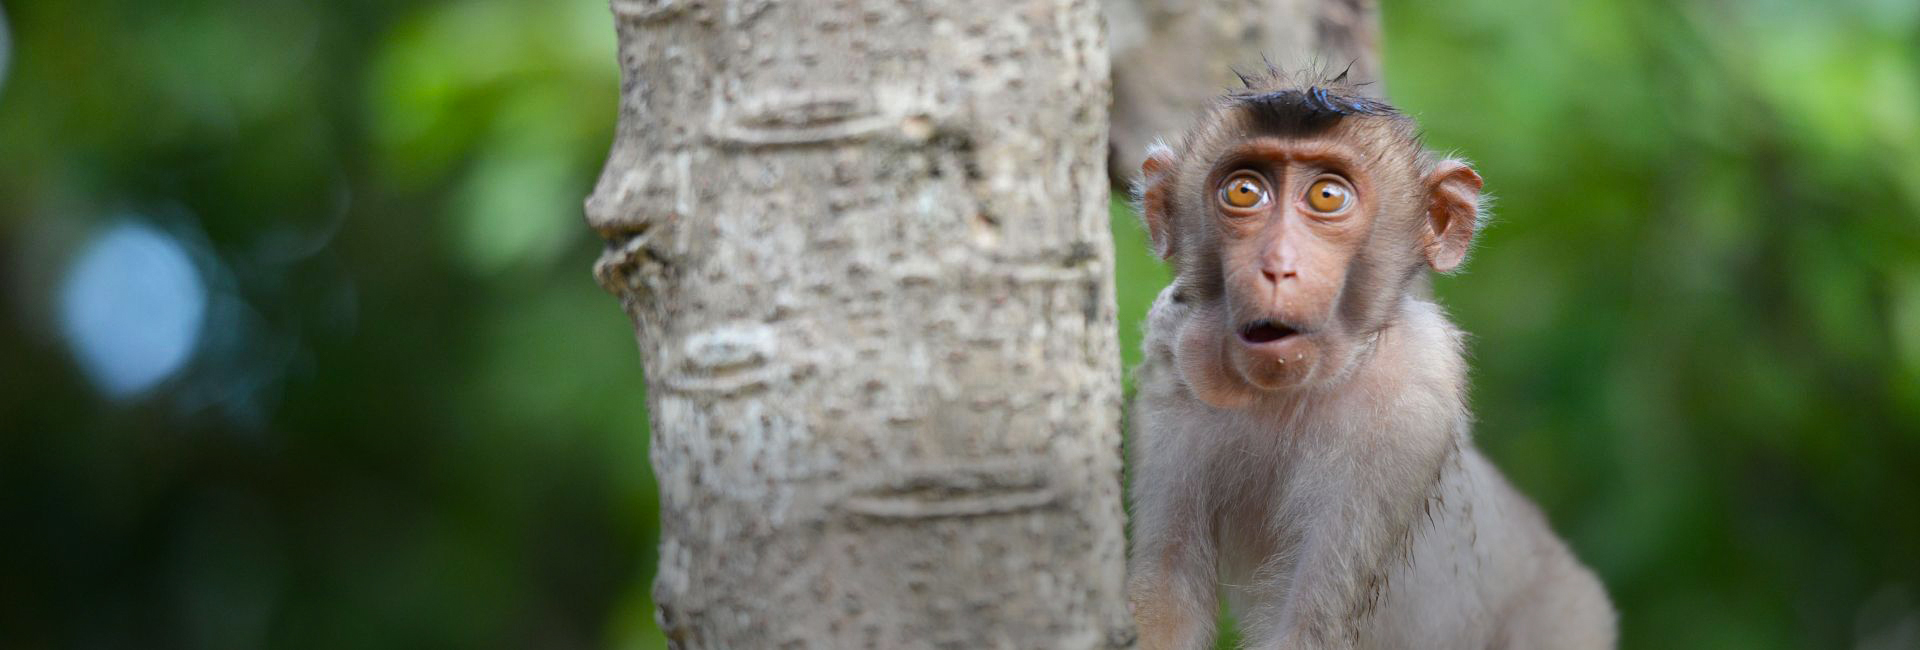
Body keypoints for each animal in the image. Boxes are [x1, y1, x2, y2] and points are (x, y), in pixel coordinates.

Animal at [1125, 72, 1617, 650]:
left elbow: (1311, 622)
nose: (1278, 266)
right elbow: (1167, 588)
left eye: (1327, 195)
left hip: (1567, 619)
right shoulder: (1169, 359)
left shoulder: (1409, 401)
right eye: (1244, 191)